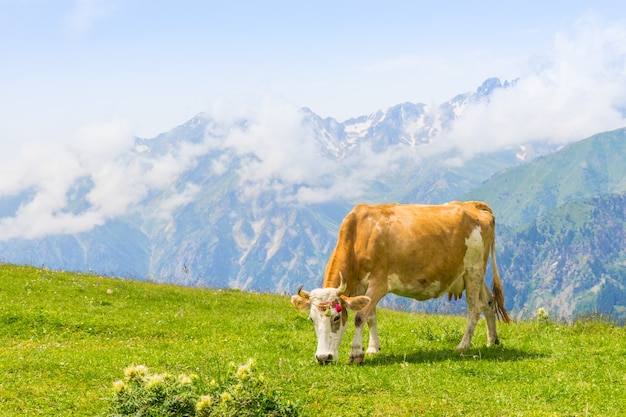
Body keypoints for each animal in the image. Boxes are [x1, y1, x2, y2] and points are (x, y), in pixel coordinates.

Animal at [290, 200, 510, 362]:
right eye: (311, 319)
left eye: (336, 318)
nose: (323, 357)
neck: (359, 235)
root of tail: (473, 205)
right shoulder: (362, 285)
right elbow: (371, 316)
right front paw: (372, 348)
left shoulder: (379, 283)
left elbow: (360, 316)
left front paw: (356, 352)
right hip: (471, 274)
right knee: (488, 301)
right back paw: (492, 340)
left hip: (473, 270)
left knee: (474, 308)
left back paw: (463, 345)